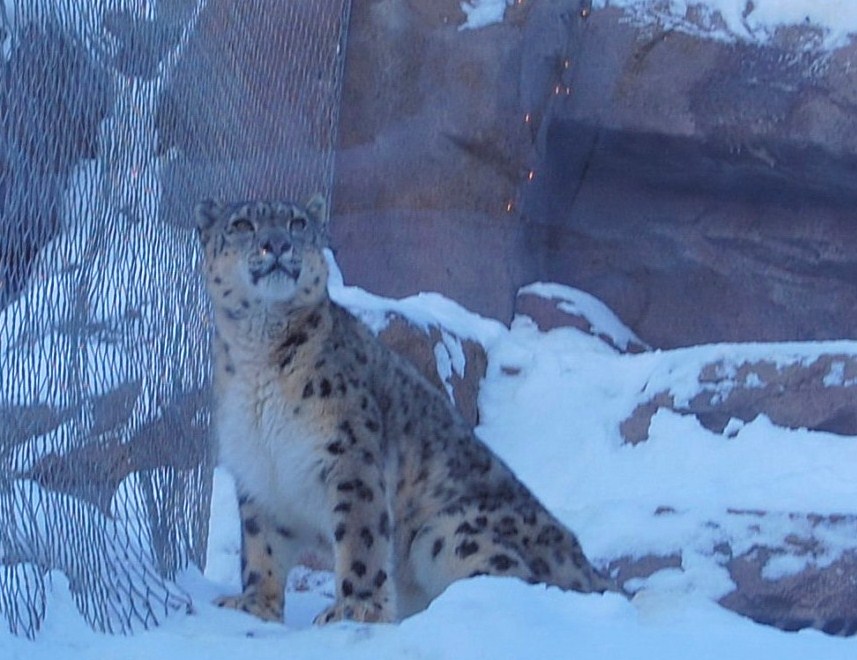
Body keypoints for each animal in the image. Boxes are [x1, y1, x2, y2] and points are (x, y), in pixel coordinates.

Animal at [194, 194, 615, 625]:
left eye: (297, 224)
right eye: (242, 225)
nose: (276, 244)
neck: (257, 355)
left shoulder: (350, 455)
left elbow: (360, 536)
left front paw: (356, 606)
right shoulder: (258, 468)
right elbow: (260, 545)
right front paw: (254, 604)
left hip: (447, 530)